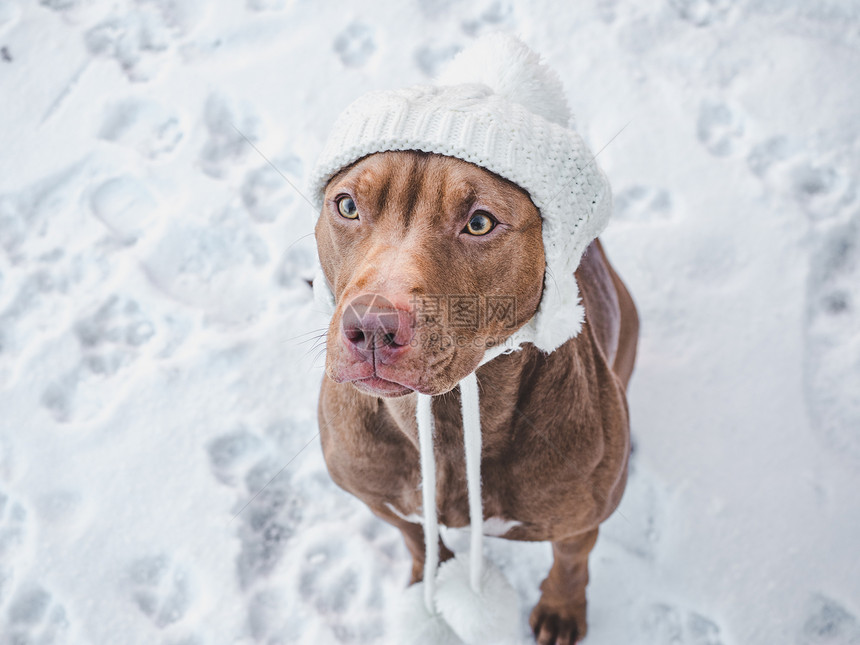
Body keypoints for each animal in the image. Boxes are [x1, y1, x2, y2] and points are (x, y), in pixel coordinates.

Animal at [316, 151, 640, 644]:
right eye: (348, 206)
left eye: (480, 222)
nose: (371, 326)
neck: (448, 419)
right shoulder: (381, 498)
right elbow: (418, 538)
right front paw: (426, 587)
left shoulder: (580, 522)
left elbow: (570, 564)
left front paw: (561, 610)